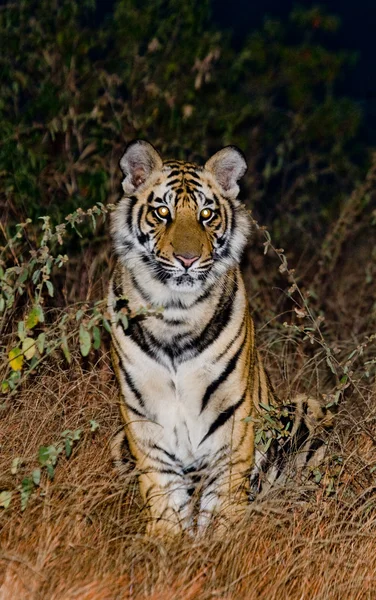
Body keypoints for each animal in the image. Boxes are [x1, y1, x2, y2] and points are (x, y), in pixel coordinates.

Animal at [107, 141, 330, 536]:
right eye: (162, 211)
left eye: (207, 214)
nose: (187, 259)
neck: (175, 312)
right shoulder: (142, 414)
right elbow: (163, 492)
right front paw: (166, 541)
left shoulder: (231, 415)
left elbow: (222, 497)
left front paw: (218, 543)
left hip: (307, 409)